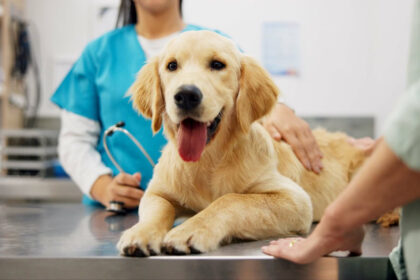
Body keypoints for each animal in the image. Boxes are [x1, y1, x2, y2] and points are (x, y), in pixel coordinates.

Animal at [116, 30, 366, 256]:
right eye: (172, 66)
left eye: (217, 64)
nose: (186, 95)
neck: (208, 161)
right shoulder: (157, 192)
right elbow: (156, 210)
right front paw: (141, 233)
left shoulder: (296, 199)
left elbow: (231, 200)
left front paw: (190, 230)